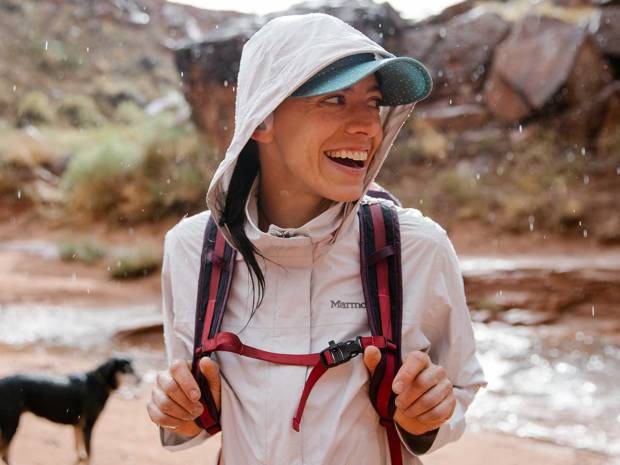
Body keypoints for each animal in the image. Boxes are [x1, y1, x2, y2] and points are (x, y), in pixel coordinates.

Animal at [0, 358, 135, 462]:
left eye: (134, 368)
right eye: (128, 369)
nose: (138, 380)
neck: (99, 383)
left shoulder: (78, 425)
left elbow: (79, 447)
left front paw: (80, 458)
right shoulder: (88, 425)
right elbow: (89, 453)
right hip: (10, 426)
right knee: (4, 454)